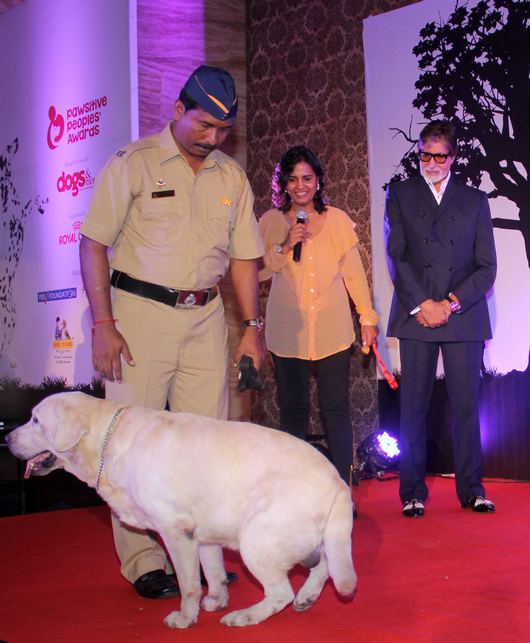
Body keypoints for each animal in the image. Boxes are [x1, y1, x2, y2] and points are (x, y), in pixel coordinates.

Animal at [7, 392, 354, 628]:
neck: (109, 438)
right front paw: (216, 600)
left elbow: (188, 584)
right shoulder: (203, 532)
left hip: (257, 538)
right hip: (316, 538)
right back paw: (307, 596)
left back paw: (246, 616)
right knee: (326, 565)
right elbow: (213, 572)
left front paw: (186, 618)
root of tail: (338, 482)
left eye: (36, 420)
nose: (7, 437)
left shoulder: (176, 530)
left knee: (281, 591)